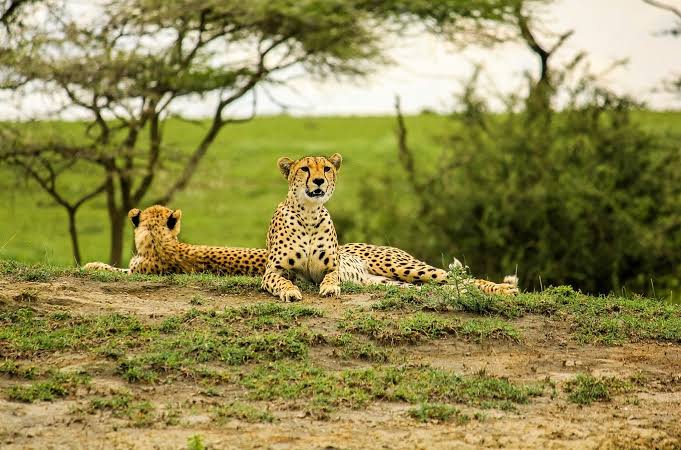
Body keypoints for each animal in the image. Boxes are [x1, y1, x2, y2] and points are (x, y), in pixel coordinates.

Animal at [261, 153, 519, 302]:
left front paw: (330, 288)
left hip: (403, 267)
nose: (318, 181)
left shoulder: (330, 268)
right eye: (304, 169)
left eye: (326, 169)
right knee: (450, 287)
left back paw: (504, 290)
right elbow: (281, 281)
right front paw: (289, 291)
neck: (309, 213)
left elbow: (331, 278)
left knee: (462, 279)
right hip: (397, 282)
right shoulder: (272, 271)